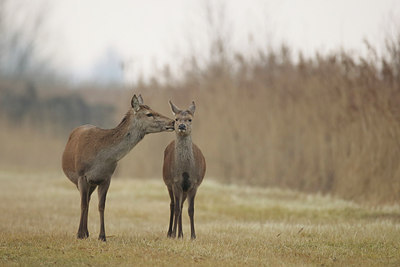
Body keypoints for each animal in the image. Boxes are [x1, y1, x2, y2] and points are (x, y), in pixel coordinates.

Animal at [61, 94, 174, 243]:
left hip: (92, 184)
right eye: (149, 114)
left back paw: (87, 232)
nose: (173, 122)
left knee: (88, 200)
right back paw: (83, 232)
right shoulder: (82, 175)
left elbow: (101, 206)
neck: (100, 158)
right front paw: (79, 234)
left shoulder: (106, 178)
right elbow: (83, 205)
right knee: (85, 202)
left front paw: (102, 236)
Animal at [162, 101, 206, 241]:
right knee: (173, 205)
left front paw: (193, 236)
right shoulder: (175, 182)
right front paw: (174, 234)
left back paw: (180, 233)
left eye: (190, 119)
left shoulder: (194, 183)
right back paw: (171, 233)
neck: (185, 169)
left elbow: (190, 209)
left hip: (184, 189)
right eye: (176, 119)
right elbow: (176, 208)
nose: (181, 126)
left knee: (181, 205)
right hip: (168, 184)